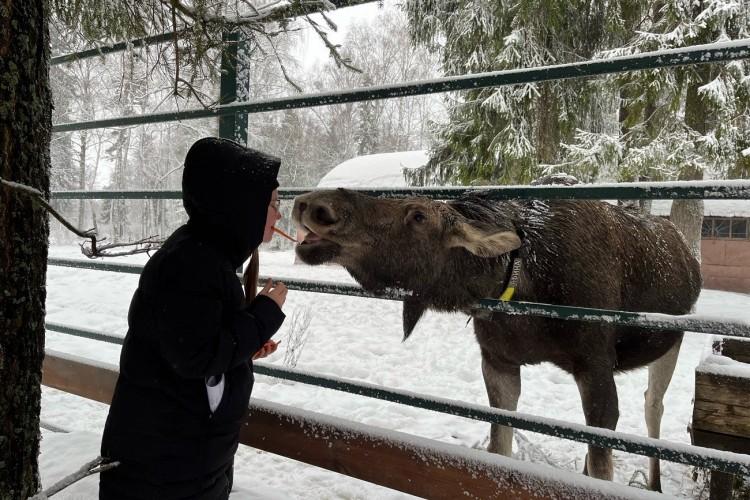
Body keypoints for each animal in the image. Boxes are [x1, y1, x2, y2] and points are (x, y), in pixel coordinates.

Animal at [290, 187, 704, 488]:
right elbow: (499, 450)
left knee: (653, 406)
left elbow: (603, 468)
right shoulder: (498, 362)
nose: (316, 204)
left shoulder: (595, 366)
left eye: (419, 215)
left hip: (673, 341)